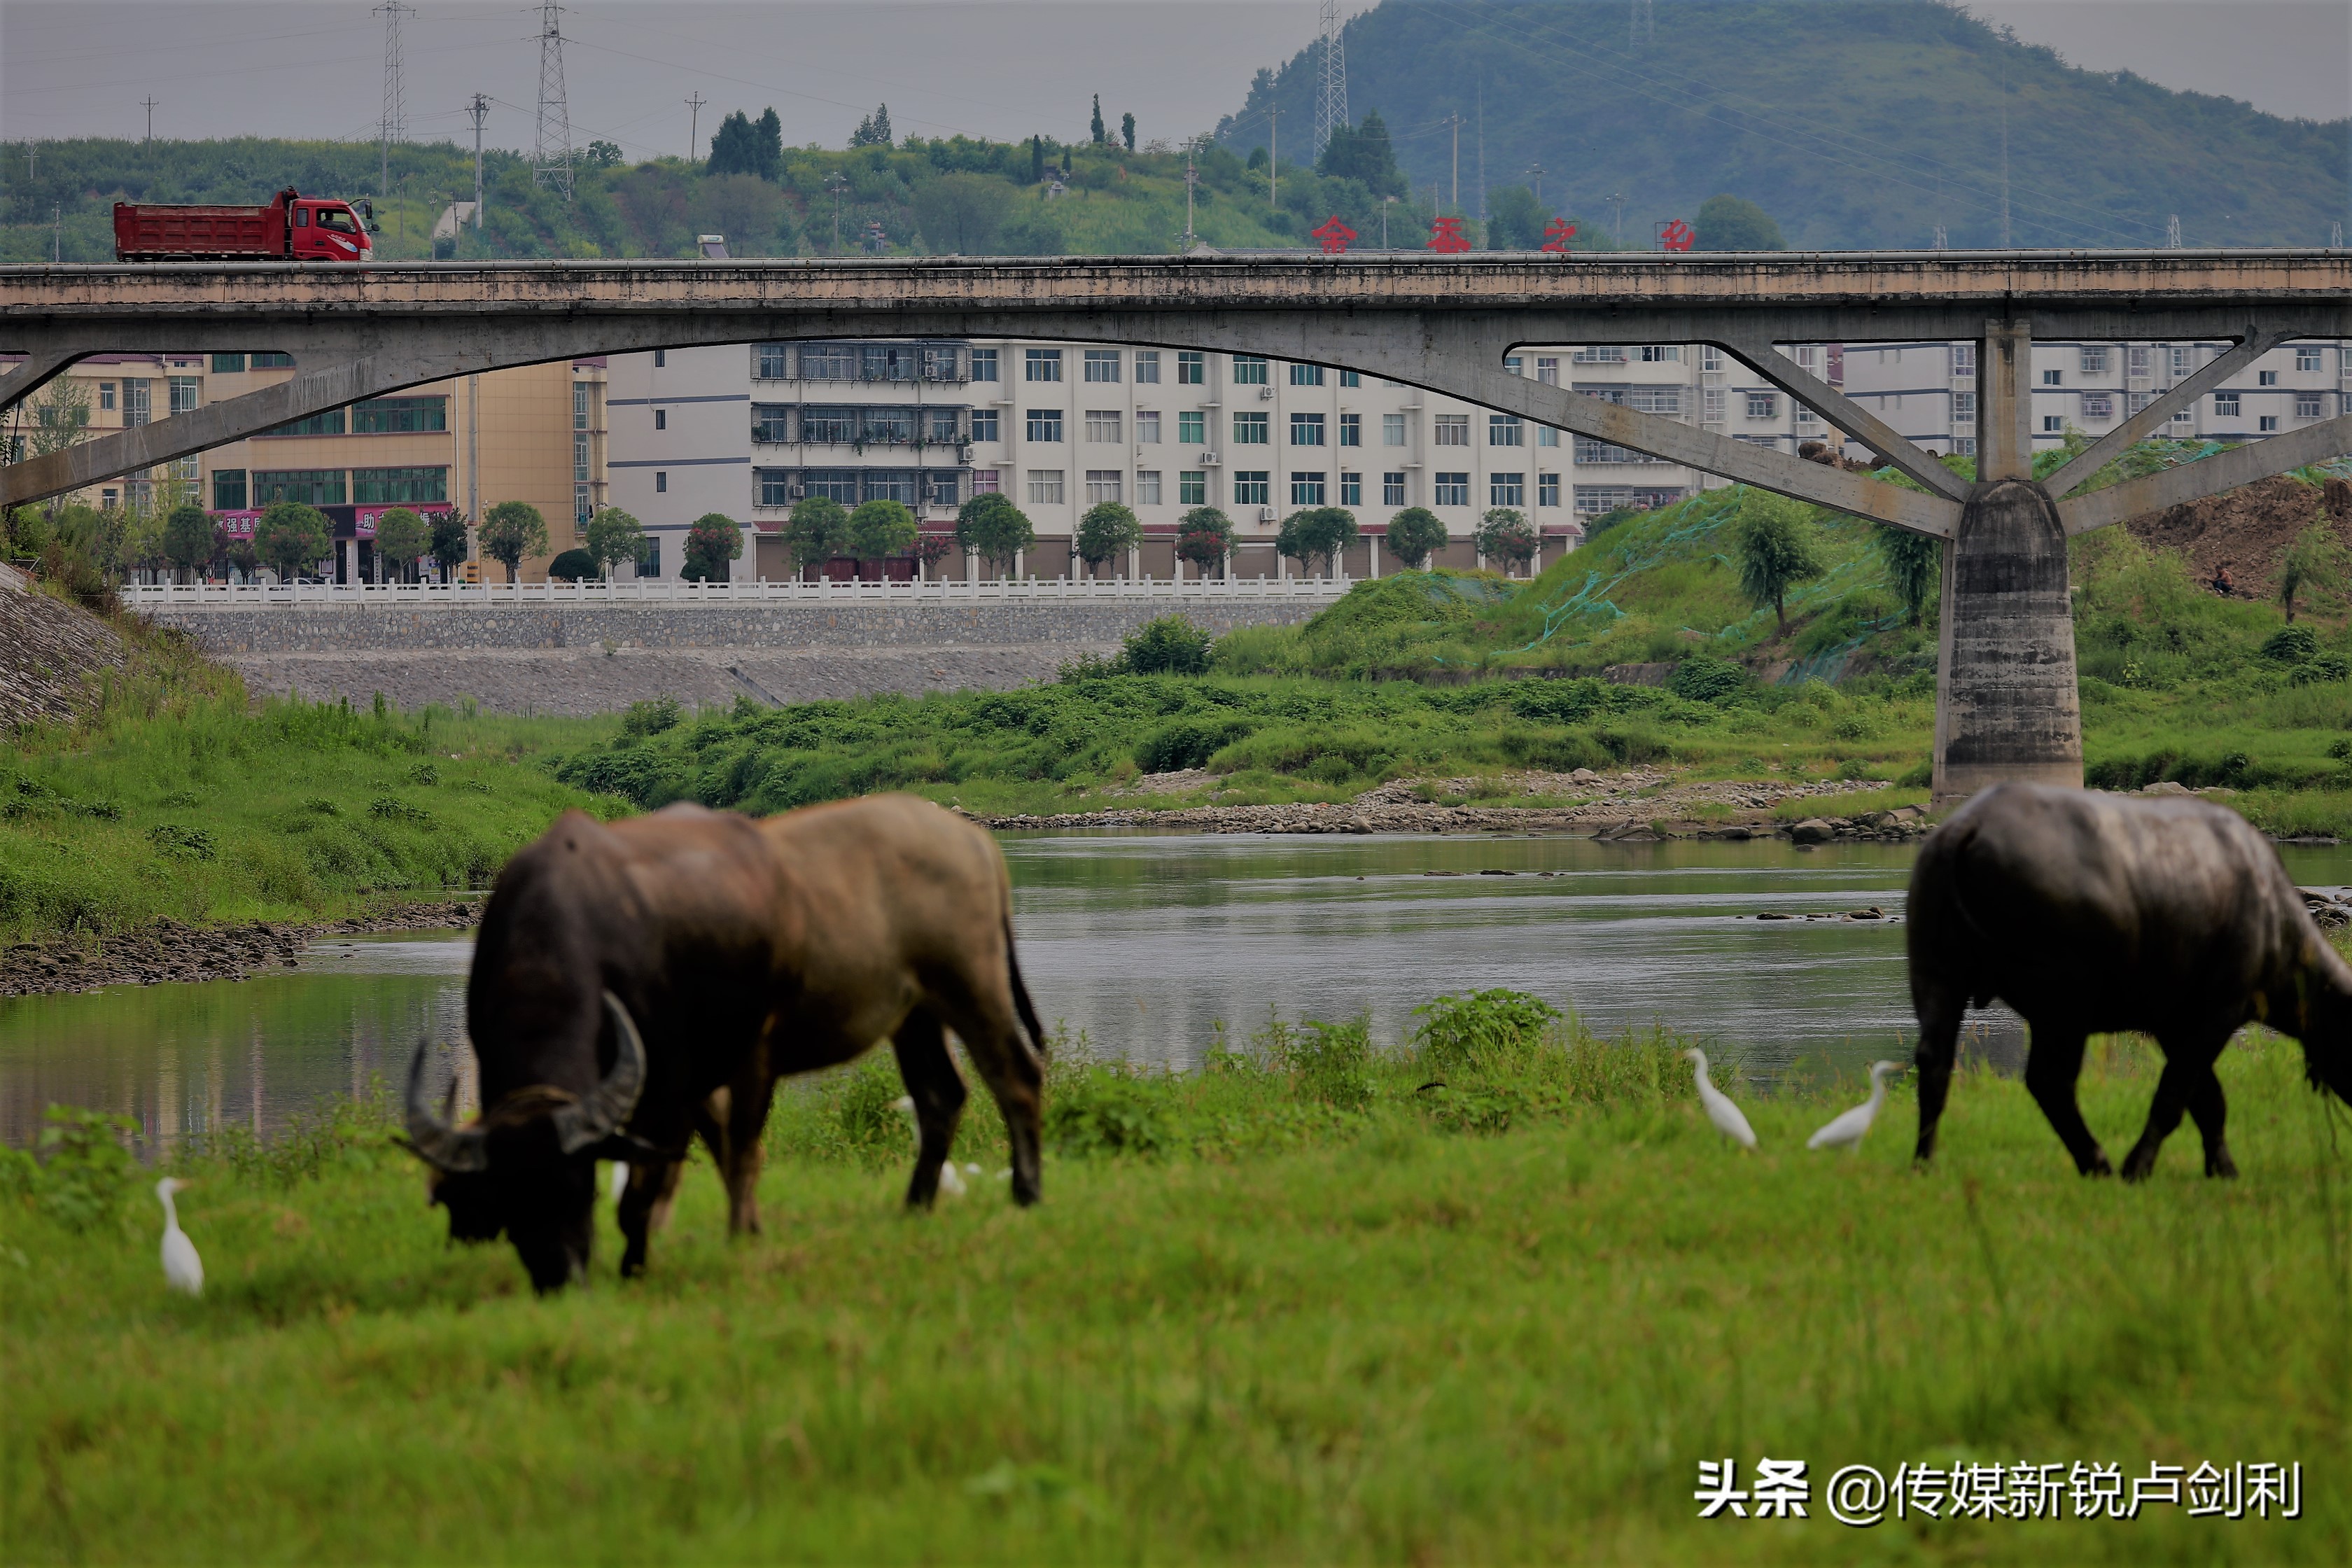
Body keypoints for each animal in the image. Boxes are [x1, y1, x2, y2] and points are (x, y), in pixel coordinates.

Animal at [404, 790, 1049, 1297]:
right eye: (508, 1196)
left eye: (578, 1186)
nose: (559, 1277)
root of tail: (973, 840)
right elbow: (711, 1154)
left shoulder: (678, 1080)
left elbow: (667, 1180)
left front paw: (665, 1257)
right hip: (913, 1014)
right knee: (941, 1097)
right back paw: (913, 1206)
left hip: (972, 983)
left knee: (1016, 1074)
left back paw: (1025, 1192)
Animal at [1910, 785, 2352, 1175]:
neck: (2275, 920)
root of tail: (1969, 826)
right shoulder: (2217, 1013)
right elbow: (2175, 1098)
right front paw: (2138, 1166)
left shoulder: (2176, 1024)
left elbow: (2208, 1100)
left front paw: (2222, 1167)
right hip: (2064, 1005)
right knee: (2050, 1081)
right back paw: (2098, 1163)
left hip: (1938, 975)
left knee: (1935, 1063)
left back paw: (1924, 1163)